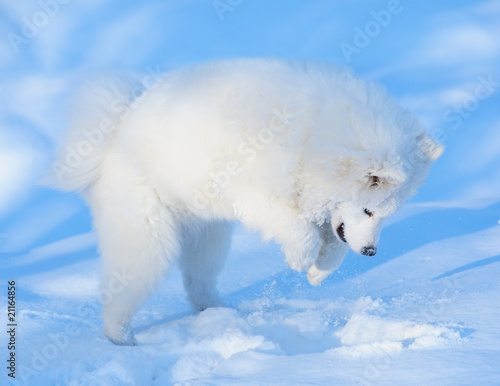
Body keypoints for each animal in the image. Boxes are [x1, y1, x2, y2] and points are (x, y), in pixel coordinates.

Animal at [49, 58, 442, 346]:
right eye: (369, 209)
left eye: (387, 215)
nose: (372, 253)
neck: (310, 140)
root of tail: (112, 139)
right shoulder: (255, 192)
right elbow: (301, 231)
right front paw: (301, 260)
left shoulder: (319, 208)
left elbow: (333, 243)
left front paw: (318, 272)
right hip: (150, 240)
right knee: (122, 290)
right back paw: (119, 337)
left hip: (208, 237)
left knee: (197, 282)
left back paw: (219, 312)